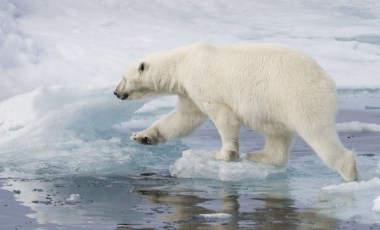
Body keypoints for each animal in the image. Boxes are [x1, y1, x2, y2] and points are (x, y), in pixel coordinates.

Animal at [114, 42, 358, 181]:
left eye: (123, 78)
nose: (116, 93)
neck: (182, 63)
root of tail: (328, 80)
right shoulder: (189, 92)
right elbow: (184, 118)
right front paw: (142, 136)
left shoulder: (203, 81)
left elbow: (222, 114)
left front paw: (225, 154)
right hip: (275, 104)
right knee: (278, 134)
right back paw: (259, 155)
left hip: (297, 97)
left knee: (317, 133)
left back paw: (349, 173)